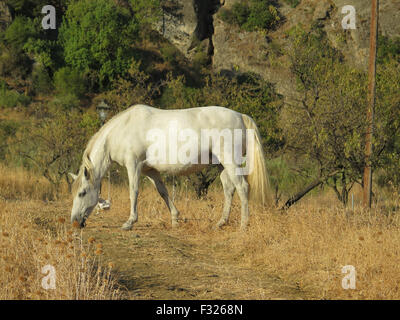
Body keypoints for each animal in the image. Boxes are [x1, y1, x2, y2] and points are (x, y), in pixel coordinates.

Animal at [69, 105, 268, 230]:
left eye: (82, 193)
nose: (75, 222)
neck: (123, 129)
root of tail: (241, 116)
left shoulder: (134, 165)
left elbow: (133, 191)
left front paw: (130, 222)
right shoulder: (150, 170)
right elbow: (163, 191)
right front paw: (175, 219)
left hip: (230, 162)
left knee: (242, 187)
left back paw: (243, 224)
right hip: (221, 165)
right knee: (229, 189)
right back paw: (220, 223)